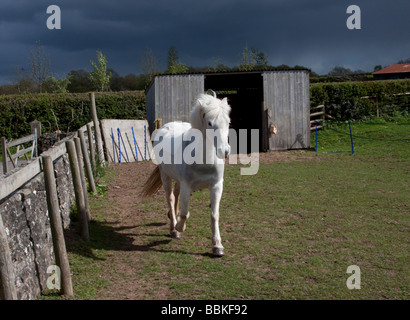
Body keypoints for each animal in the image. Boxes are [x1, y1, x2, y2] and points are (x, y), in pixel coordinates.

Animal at [142, 91, 231, 256]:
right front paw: (179, 227)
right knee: (170, 197)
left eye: (228, 122)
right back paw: (173, 228)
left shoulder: (216, 186)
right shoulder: (186, 186)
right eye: (210, 123)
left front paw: (217, 246)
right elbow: (184, 212)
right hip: (165, 175)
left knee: (175, 195)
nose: (225, 151)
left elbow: (214, 215)